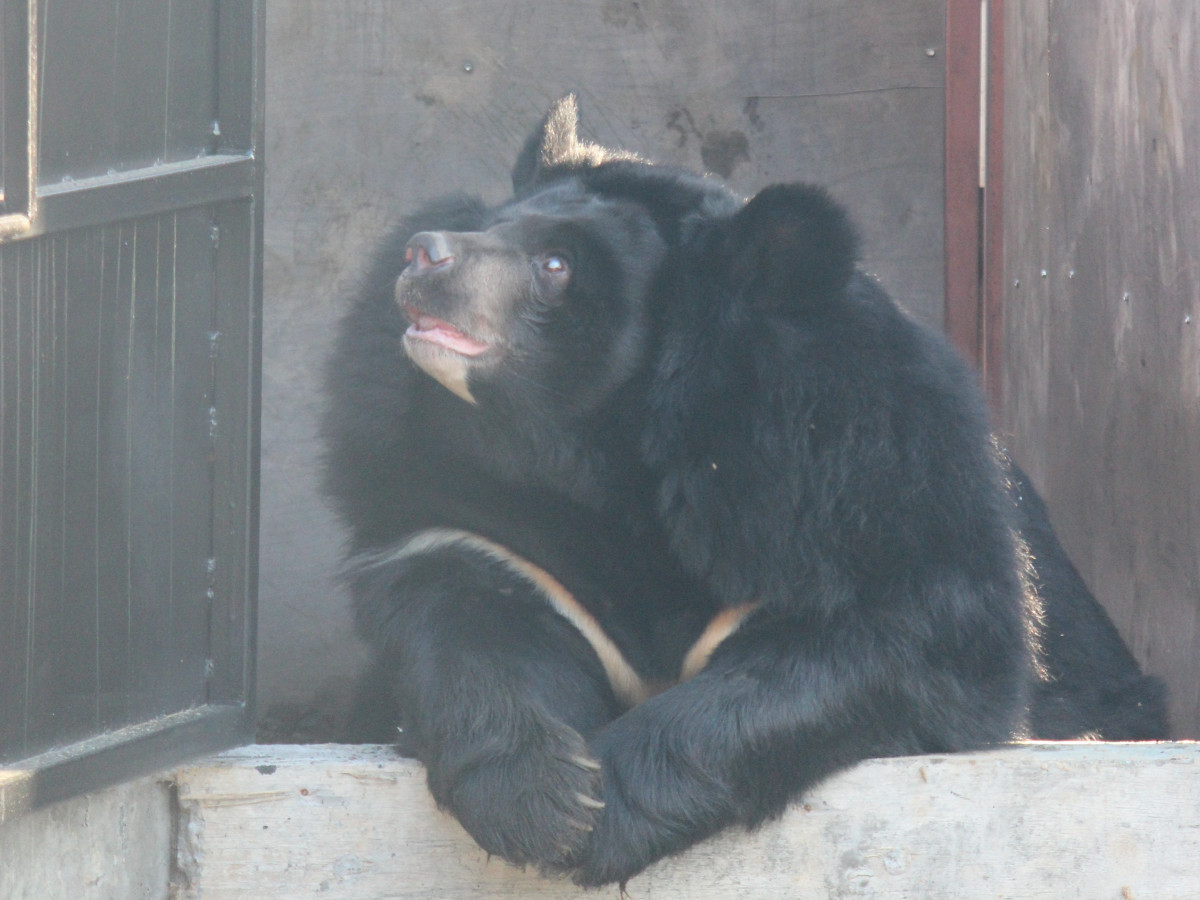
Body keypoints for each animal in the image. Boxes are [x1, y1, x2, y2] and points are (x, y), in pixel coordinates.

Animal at [324, 98, 1166, 888]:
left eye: (555, 264)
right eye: (491, 227)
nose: (422, 254)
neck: (599, 454)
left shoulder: (860, 478)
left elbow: (872, 652)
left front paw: (607, 811)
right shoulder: (476, 523)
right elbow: (460, 618)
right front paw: (545, 803)